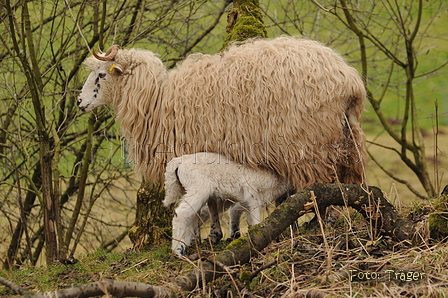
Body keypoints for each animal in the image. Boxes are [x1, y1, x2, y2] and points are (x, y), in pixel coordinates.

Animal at [79, 36, 368, 193]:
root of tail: (348, 78)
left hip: (309, 145)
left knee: (321, 184)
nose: (80, 102)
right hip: (348, 136)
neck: (157, 100)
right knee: (351, 180)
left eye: (101, 75)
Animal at [163, 152, 296, 258]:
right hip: (199, 188)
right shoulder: (253, 195)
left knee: (192, 216)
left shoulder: (246, 201)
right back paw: (178, 251)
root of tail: (177, 162)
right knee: (181, 214)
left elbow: (246, 217)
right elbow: (256, 221)